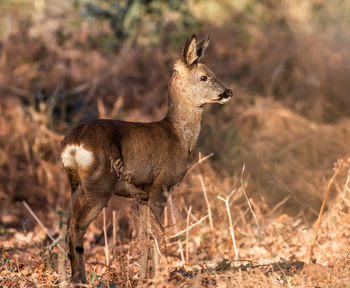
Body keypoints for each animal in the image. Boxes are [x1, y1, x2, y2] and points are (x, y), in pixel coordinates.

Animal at [60, 33, 232, 286]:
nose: (228, 92)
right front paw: (162, 276)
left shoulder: (141, 194)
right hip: (99, 184)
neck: (179, 136)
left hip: (75, 183)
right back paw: (80, 280)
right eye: (204, 76)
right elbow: (158, 234)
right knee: (77, 227)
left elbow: (143, 236)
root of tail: (72, 144)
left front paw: (142, 277)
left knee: (68, 225)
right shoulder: (160, 186)